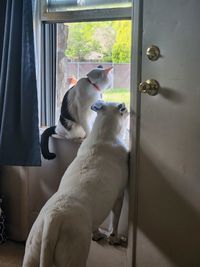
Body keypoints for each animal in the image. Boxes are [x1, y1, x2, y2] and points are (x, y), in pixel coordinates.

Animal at [22, 101, 129, 267]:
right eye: (123, 110)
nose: (129, 110)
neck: (103, 135)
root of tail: (53, 219)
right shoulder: (119, 196)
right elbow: (115, 220)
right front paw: (114, 237)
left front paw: (97, 233)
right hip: (75, 252)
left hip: (33, 250)